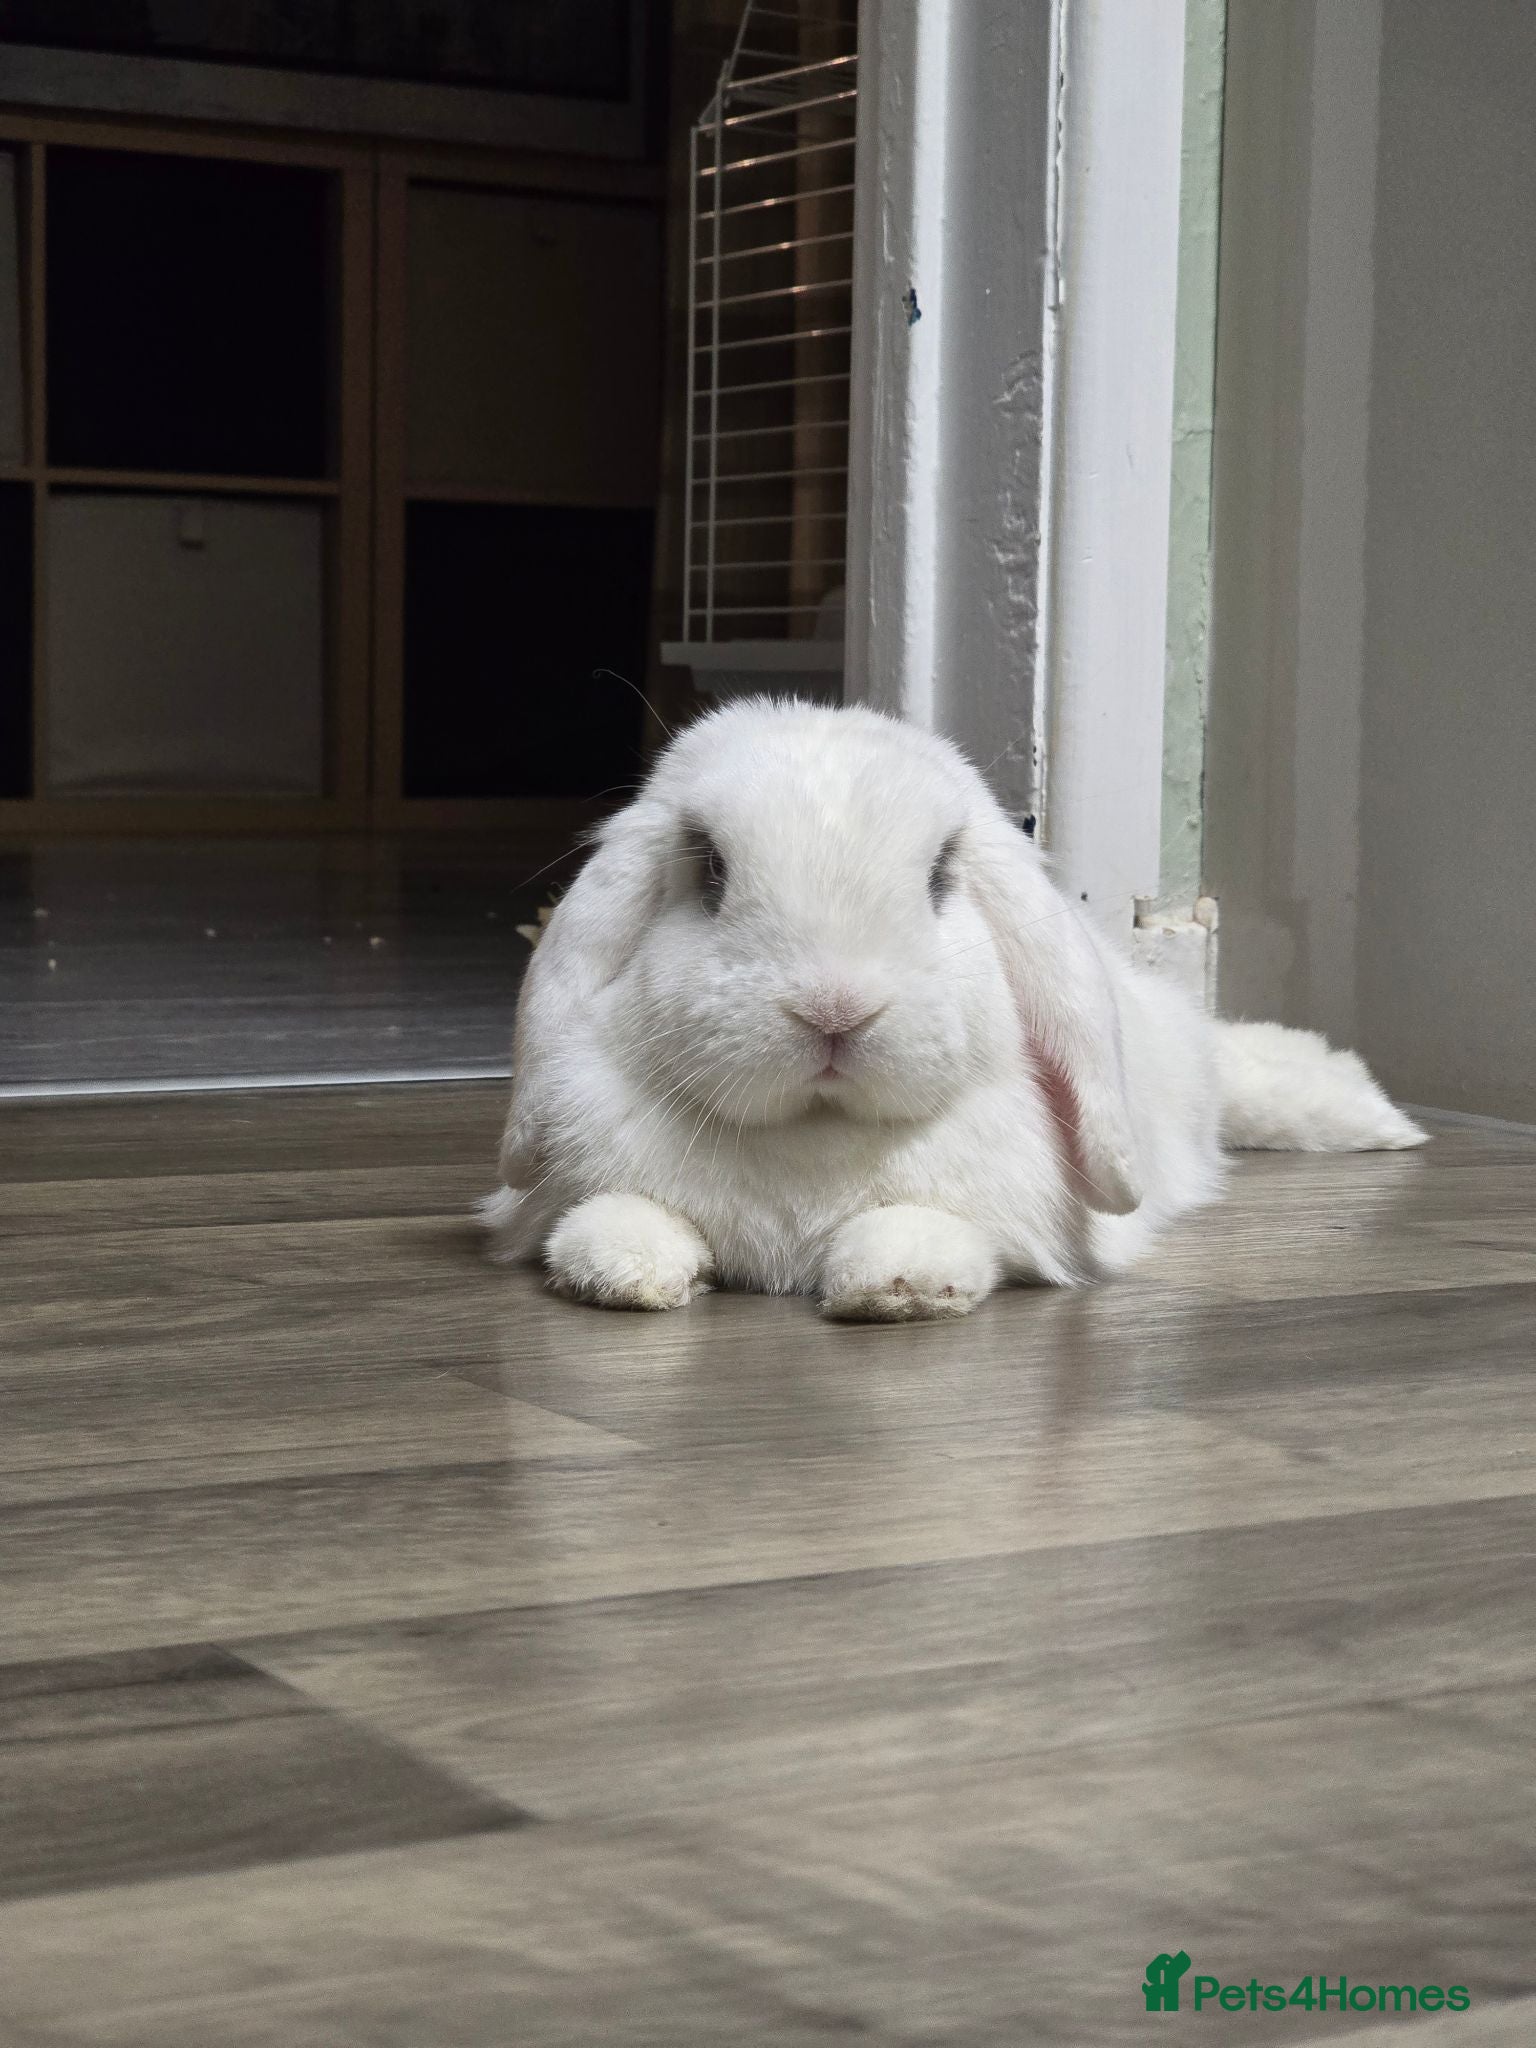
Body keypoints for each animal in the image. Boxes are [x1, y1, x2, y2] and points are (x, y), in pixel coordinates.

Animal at [481, 698, 1425, 1321]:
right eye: (710, 869)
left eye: (939, 875)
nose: (835, 1008)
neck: (817, 1132)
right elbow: (617, 1218)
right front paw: (622, 1270)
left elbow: (927, 1231)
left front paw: (896, 1284)